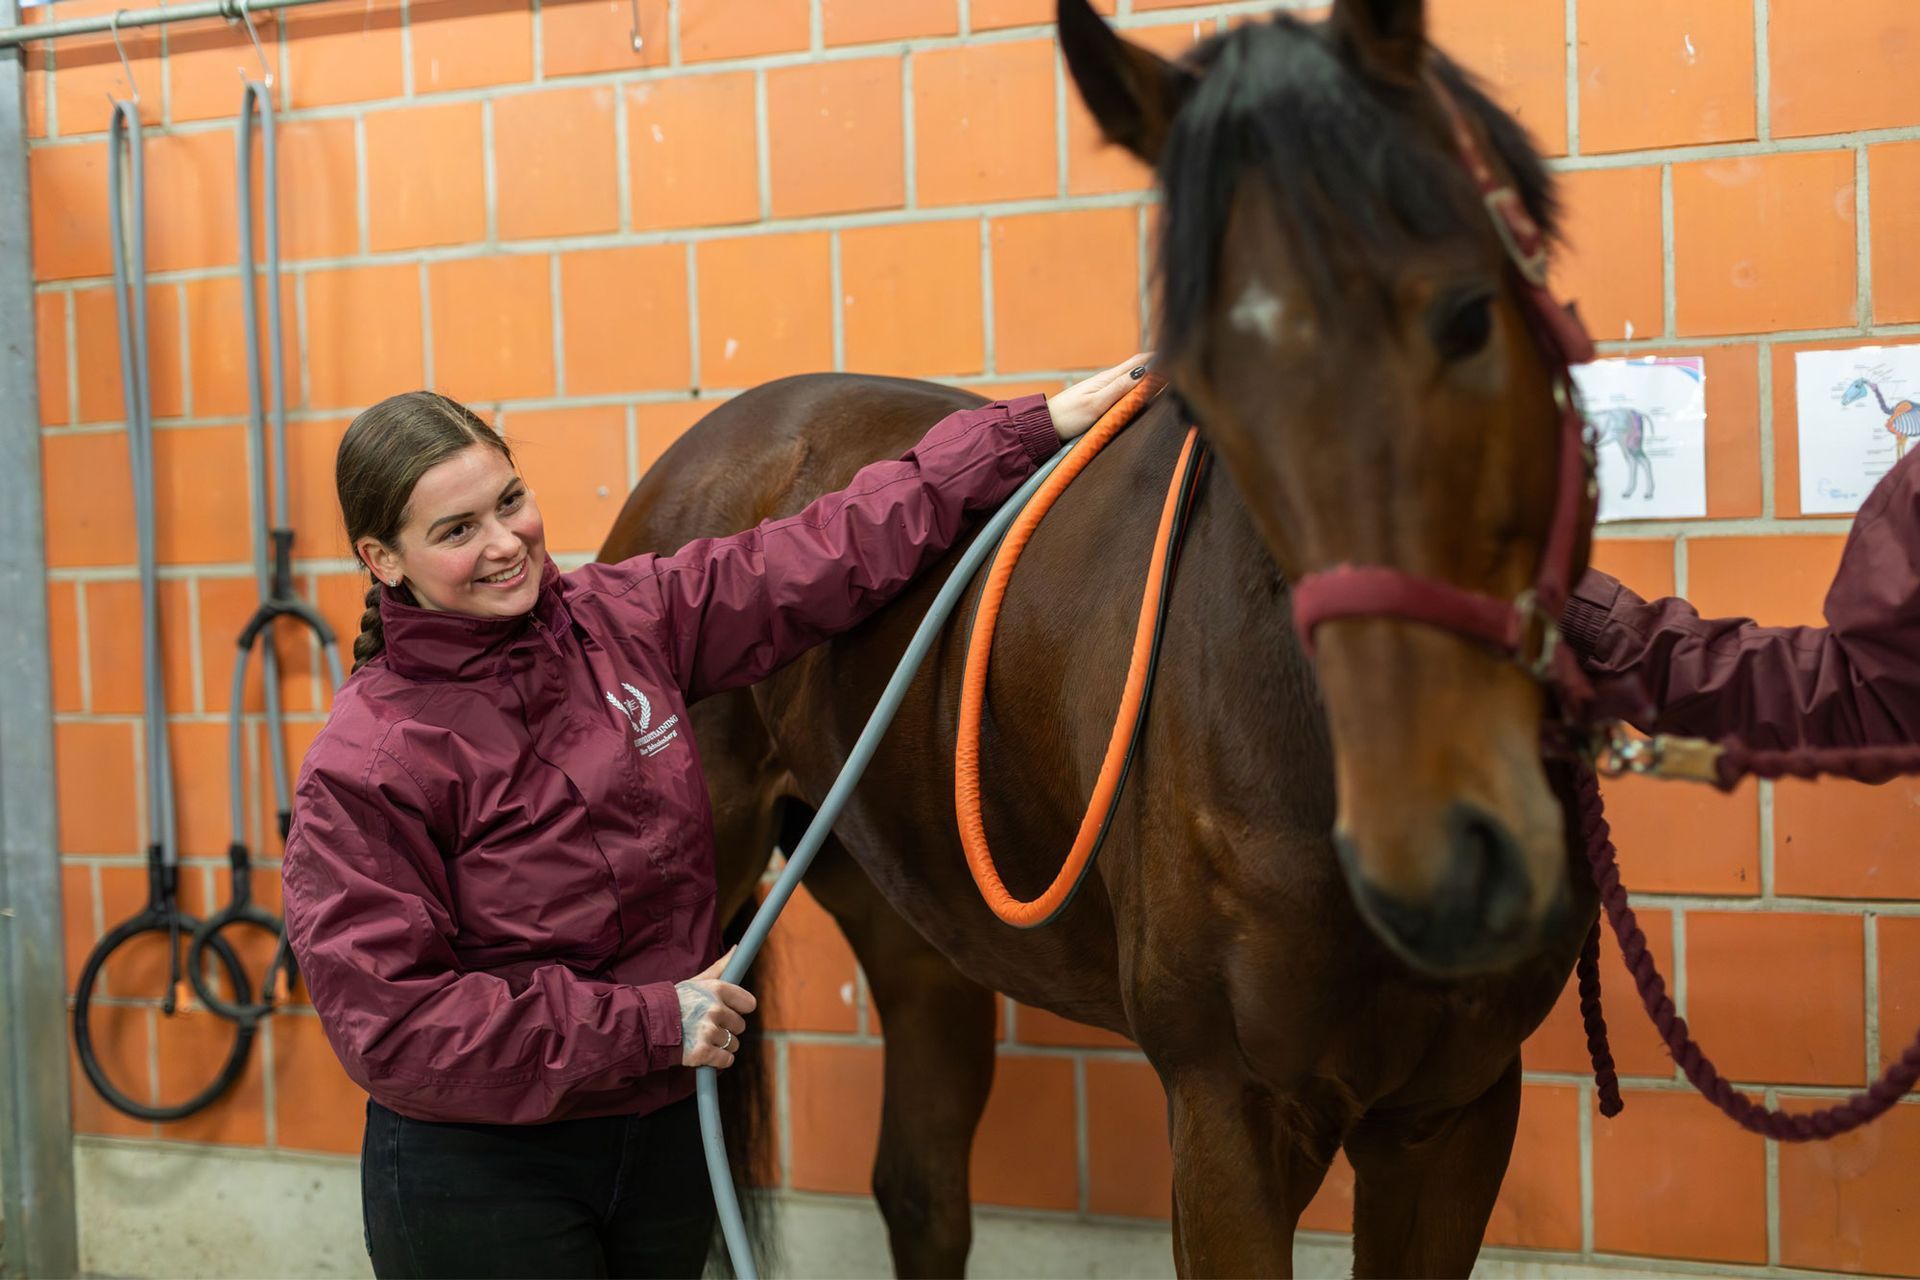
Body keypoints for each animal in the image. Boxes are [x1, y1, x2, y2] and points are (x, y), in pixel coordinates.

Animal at [599, 2, 1597, 1274]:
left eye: (1470, 315)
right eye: (1205, 385)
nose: (1440, 860)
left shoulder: (1458, 1113)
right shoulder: (1228, 1114)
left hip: (914, 927)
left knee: (921, 1188)